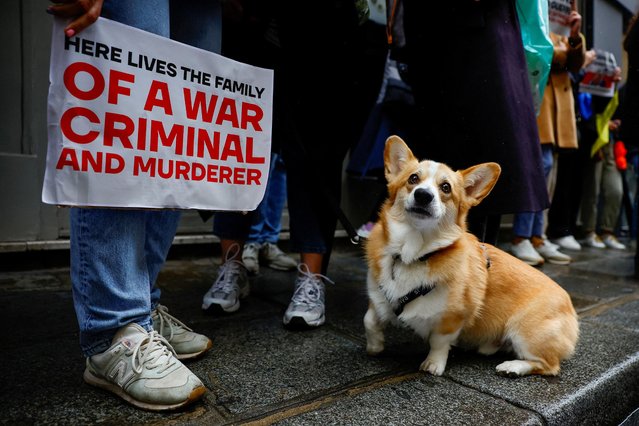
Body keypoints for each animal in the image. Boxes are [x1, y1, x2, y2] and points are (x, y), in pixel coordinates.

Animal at [364, 136, 580, 376]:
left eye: (446, 187)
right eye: (413, 178)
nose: (423, 195)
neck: (413, 254)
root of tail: (571, 308)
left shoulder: (452, 318)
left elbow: (439, 342)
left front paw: (433, 364)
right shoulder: (378, 296)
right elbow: (369, 320)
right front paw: (374, 346)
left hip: (524, 330)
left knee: (549, 365)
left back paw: (513, 367)